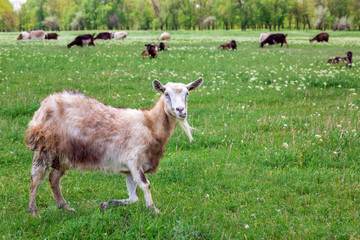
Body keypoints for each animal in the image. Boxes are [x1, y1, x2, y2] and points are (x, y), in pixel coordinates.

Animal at [26, 78, 202, 217]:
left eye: (187, 93)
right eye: (166, 93)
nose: (181, 110)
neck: (150, 125)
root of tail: (45, 104)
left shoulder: (130, 169)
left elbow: (133, 197)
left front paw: (106, 204)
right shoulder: (133, 160)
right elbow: (145, 185)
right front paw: (153, 210)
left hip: (63, 155)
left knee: (53, 178)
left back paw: (65, 207)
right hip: (45, 147)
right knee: (37, 177)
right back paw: (34, 212)